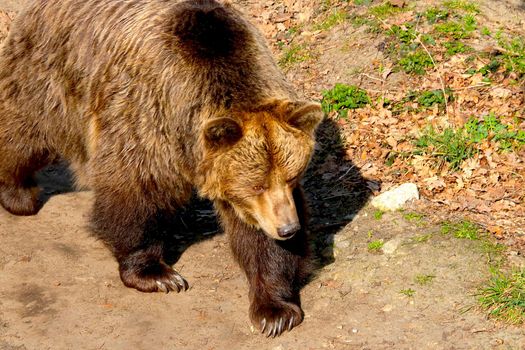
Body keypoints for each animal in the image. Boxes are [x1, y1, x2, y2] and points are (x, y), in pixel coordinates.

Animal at [0, 0, 322, 336]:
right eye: (255, 185)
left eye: (291, 177)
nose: (288, 228)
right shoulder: (146, 115)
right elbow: (135, 194)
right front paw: (157, 274)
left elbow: (259, 237)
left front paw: (275, 310)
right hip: (51, 73)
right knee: (26, 132)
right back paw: (19, 194)